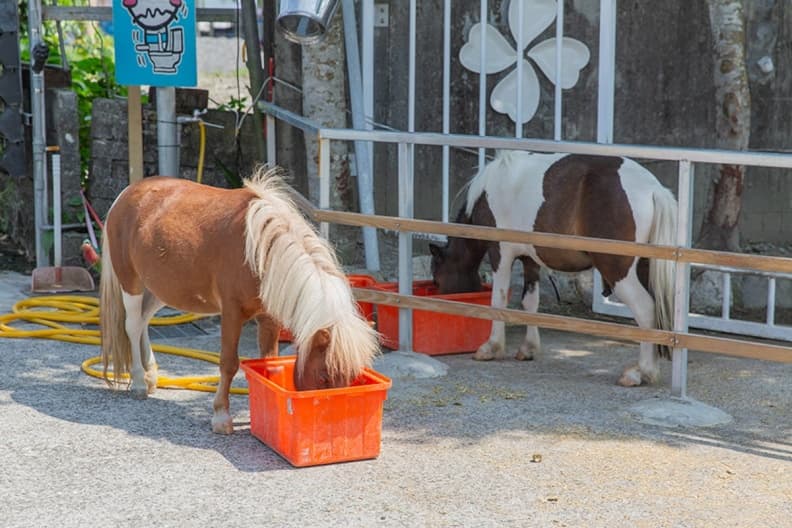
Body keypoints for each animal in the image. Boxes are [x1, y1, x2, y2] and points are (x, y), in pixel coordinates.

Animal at [99, 166, 379, 434]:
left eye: (351, 377)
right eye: (324, 377)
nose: (328, 422)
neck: (262, 249)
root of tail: (126, 194)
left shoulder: (269, 318)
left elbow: (271, 364)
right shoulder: (232, 313)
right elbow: (228, 364)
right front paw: (221, 417)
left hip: (161, 289)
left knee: (144, 322)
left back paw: (151, 376)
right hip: (132, 284)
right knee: (132, 326)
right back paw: (138, 381)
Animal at [430, 151, 677, 387]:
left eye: (437, 279)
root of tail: (653, 189)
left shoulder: (500, 252)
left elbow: (498, 301)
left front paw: (492, 347)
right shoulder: (529, 259)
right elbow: (530, 302)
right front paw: (528, 349)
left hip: (618, 271)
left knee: (645, 310)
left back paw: (640, 373)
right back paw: (649, 371)